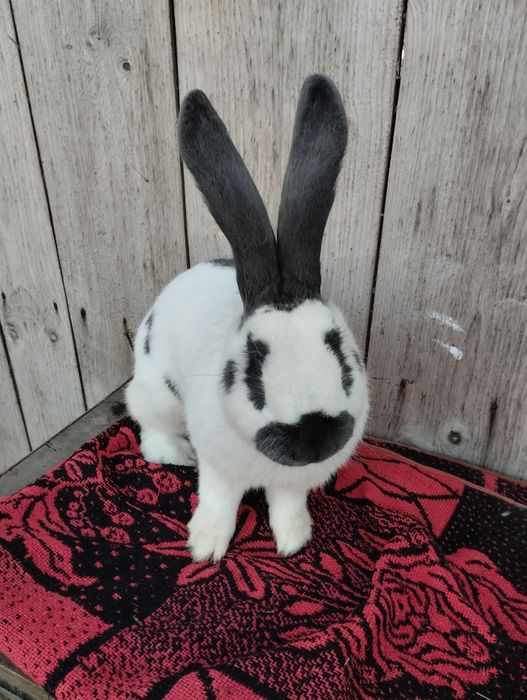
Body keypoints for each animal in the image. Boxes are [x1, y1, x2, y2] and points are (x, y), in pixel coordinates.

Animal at [126, 74, 369, 562]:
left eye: (343, 354)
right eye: (249, 371)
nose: (314, 436)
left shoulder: (292, 483)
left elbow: (287, 504)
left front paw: (293, 541)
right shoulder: (220, 468)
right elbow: (218, 501)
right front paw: (204, 547)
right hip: (156, 392)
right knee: (146, 422)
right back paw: (174, 453)